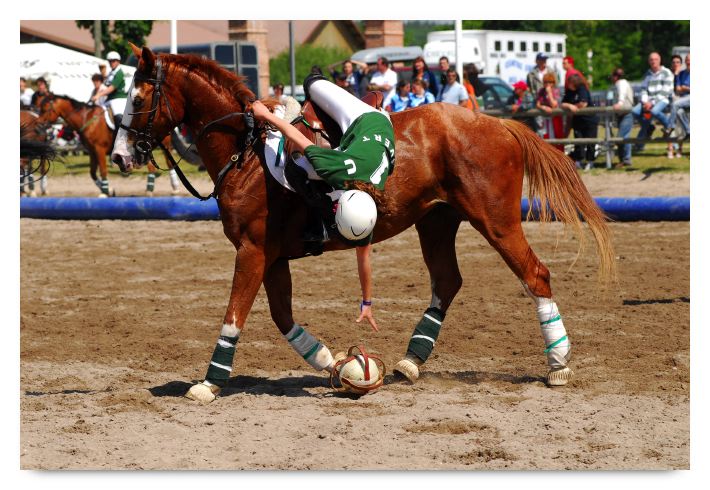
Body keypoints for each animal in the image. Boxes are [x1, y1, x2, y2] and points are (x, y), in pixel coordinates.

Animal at [35, 94, 180, 197]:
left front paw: (105, 191)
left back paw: (170, 188)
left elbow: (103, 171)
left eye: (45, 109)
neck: (87, 119)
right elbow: (92, 173)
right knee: (154, 166)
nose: (38, 126)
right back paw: (155, 188)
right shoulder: (92, 152)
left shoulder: (99, 150)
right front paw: (109, 190)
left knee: (166, 164)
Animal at [112, 45, 615, 403]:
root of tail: (500, 123)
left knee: (535, 274)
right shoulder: (271, 257)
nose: (119, 155)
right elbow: (283, 318)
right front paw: (336, 365)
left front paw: (209, 383)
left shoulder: (252, 250)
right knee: (447, 281)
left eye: (137, 97)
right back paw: (411, 361)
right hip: (436, 221)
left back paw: (558, 364)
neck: (246, 151)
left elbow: (235, 315)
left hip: (494, 220)